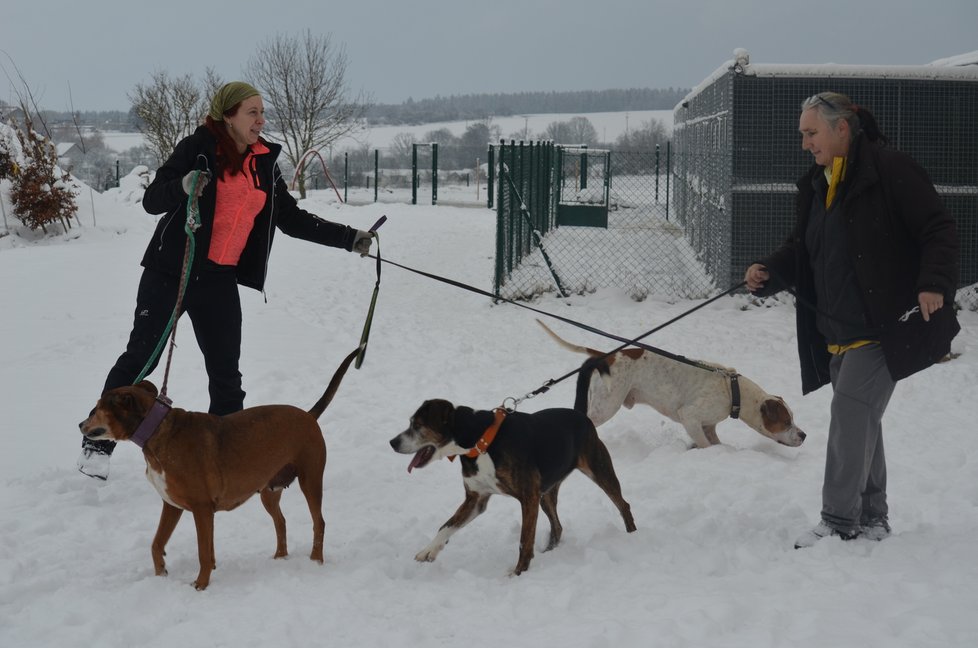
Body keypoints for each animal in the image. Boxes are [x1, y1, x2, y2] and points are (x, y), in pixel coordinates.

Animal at [75, 346, 358, 588]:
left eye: (96, 409)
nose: (79, 424)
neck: (157, 430)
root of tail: (309, 415)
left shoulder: (202, 509)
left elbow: (203, 551)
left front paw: (200, 584)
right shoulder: (172, 505)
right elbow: (157, 543)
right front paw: (161, 573)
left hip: (311, 480)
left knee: (319, 522)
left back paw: (316, 561)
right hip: (269, 491)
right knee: (281, 521)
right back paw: (280, 557)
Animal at [386, 400, 632, 576]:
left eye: (418, 425)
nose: (392, 442)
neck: (480, 441)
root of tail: (580, 414)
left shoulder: (528, 497)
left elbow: (524, 540)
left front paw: (517, 573)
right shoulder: (476, 499)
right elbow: (446, 526)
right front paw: (429, 550)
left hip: (598, 469)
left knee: (623, 505)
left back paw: (632, 536)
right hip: (546, 493)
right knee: (558, 526)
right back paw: (549, 551)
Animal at [536, 320, 804, 450]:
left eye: (793, 418)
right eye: (785, 421)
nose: (804, 435)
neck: (733, 391)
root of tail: (606, 356)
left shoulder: (707, 425)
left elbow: (714, 442)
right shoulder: (691, 417)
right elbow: (705, 445)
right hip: (606, 406)